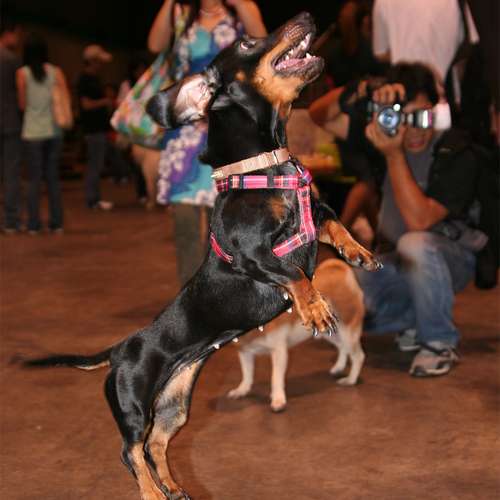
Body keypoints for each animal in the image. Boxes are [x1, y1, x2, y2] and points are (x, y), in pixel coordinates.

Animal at [227, 256, 365, 412]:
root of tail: (341, 272)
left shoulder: (279, 352)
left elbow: (275, 378)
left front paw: (278, 399)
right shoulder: (245, 353)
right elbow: (247, 375)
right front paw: (241, 390)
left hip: (348, 331)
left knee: (358, 355)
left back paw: (350, 380)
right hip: (331, 334)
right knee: (342, 347)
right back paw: (338, 368)